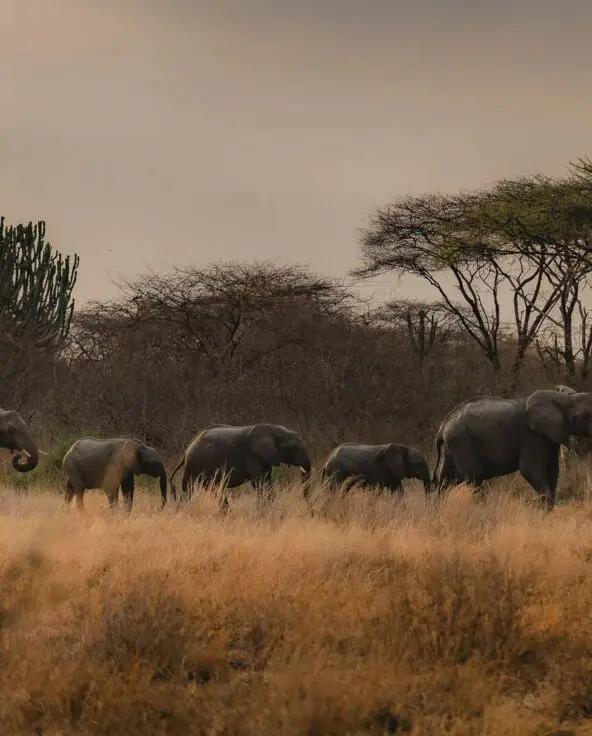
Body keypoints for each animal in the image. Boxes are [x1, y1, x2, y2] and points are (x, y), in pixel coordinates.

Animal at [169, 423, 312, 506]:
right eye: (294, 447)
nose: (306, 503)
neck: (275, 429)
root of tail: (186, 452)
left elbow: (266, 481)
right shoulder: (252, 456)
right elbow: (260, 483)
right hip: (195, 466)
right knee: (191, 489)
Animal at [432, 389, 592, 510]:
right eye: (586, 416)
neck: (565, 399)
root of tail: (442, 427)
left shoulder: (550, 436)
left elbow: (553, 470)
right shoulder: (531, 436)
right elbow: (529, 469)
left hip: (452, 447)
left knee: (447, 480)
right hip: (462, 443)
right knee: (473, 478)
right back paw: (482, 510)